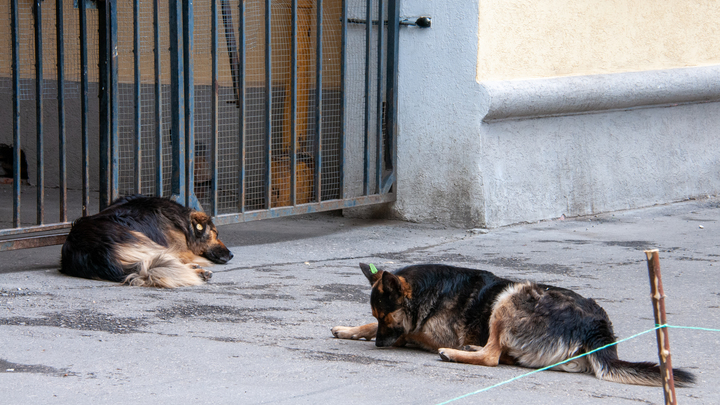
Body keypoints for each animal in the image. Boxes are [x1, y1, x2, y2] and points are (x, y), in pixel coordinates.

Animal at [334, 262, 696, 386]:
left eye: (386, 317)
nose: (380, 346)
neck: (429, 291)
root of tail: (598, 328)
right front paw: (350, 330)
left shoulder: (427, 333)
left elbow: (408, 334)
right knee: (502, 354)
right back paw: (472, 347)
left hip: (512, 295)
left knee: (493, 357)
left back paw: (458, 353)